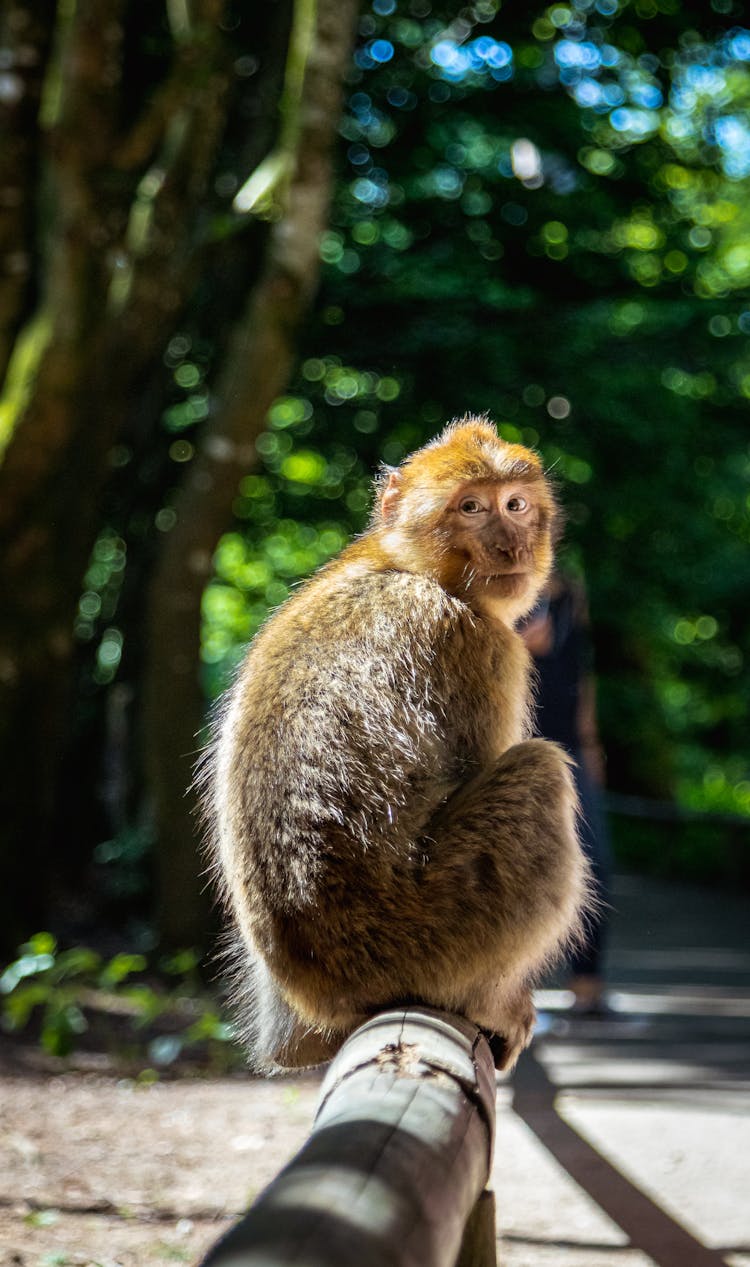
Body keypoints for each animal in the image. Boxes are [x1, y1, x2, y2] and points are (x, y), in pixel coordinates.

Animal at [203, 413, 592, 1069]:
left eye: (514, 505)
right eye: (471, 507)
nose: (511, 546)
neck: (407, 567)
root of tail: (323, 992)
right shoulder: (478, 644)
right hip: (428, 936)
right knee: (538, 772)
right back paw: (488, 1002)